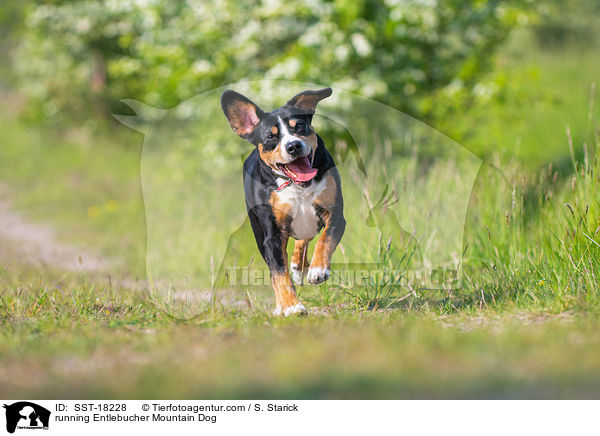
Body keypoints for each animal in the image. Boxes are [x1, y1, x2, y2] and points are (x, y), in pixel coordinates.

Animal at [221, 87, 344, 316]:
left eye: (300, 126)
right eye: (271, 136)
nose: (293, 146)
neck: (297, 187)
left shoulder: (335, 214)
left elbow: (325, 239)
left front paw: (318, 270)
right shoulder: (272, 236)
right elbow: (279, 274)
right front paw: (292, 306)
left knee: (304, 240)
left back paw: (300, 266)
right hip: (259, 231)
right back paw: (281, 305)